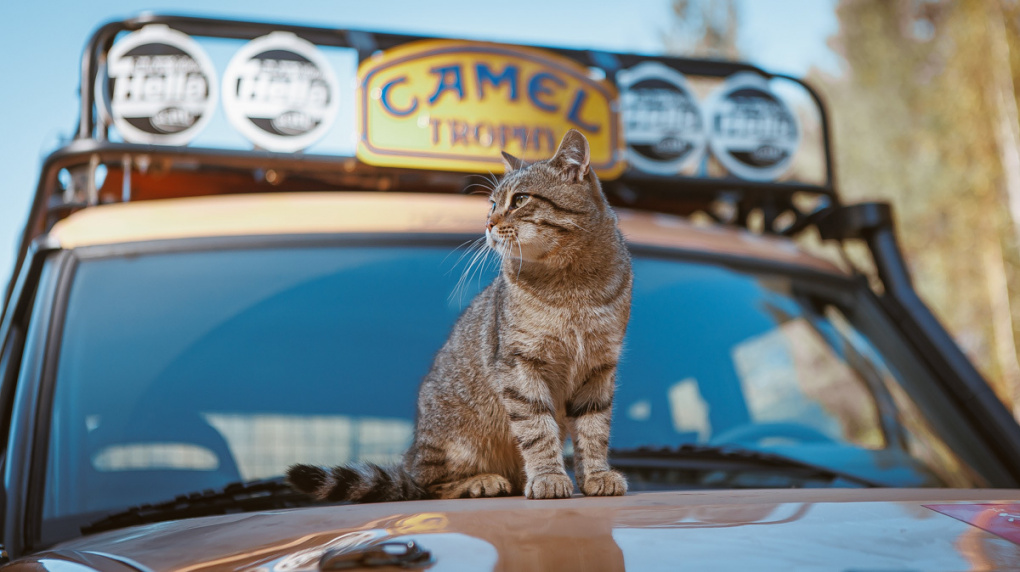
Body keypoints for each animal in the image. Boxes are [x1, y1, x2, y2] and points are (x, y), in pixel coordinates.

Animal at [287, 129, 632, 499]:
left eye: (520, 199)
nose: (488, 223)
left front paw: (596, 474)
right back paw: (482, 481)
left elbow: (594, 429)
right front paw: (549, 476)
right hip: (456, 443)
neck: (573, 286)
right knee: (427, 484)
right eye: (493, 204)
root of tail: (410, 457)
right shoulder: (520, 364)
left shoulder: (599, 366)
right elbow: (537, 430)